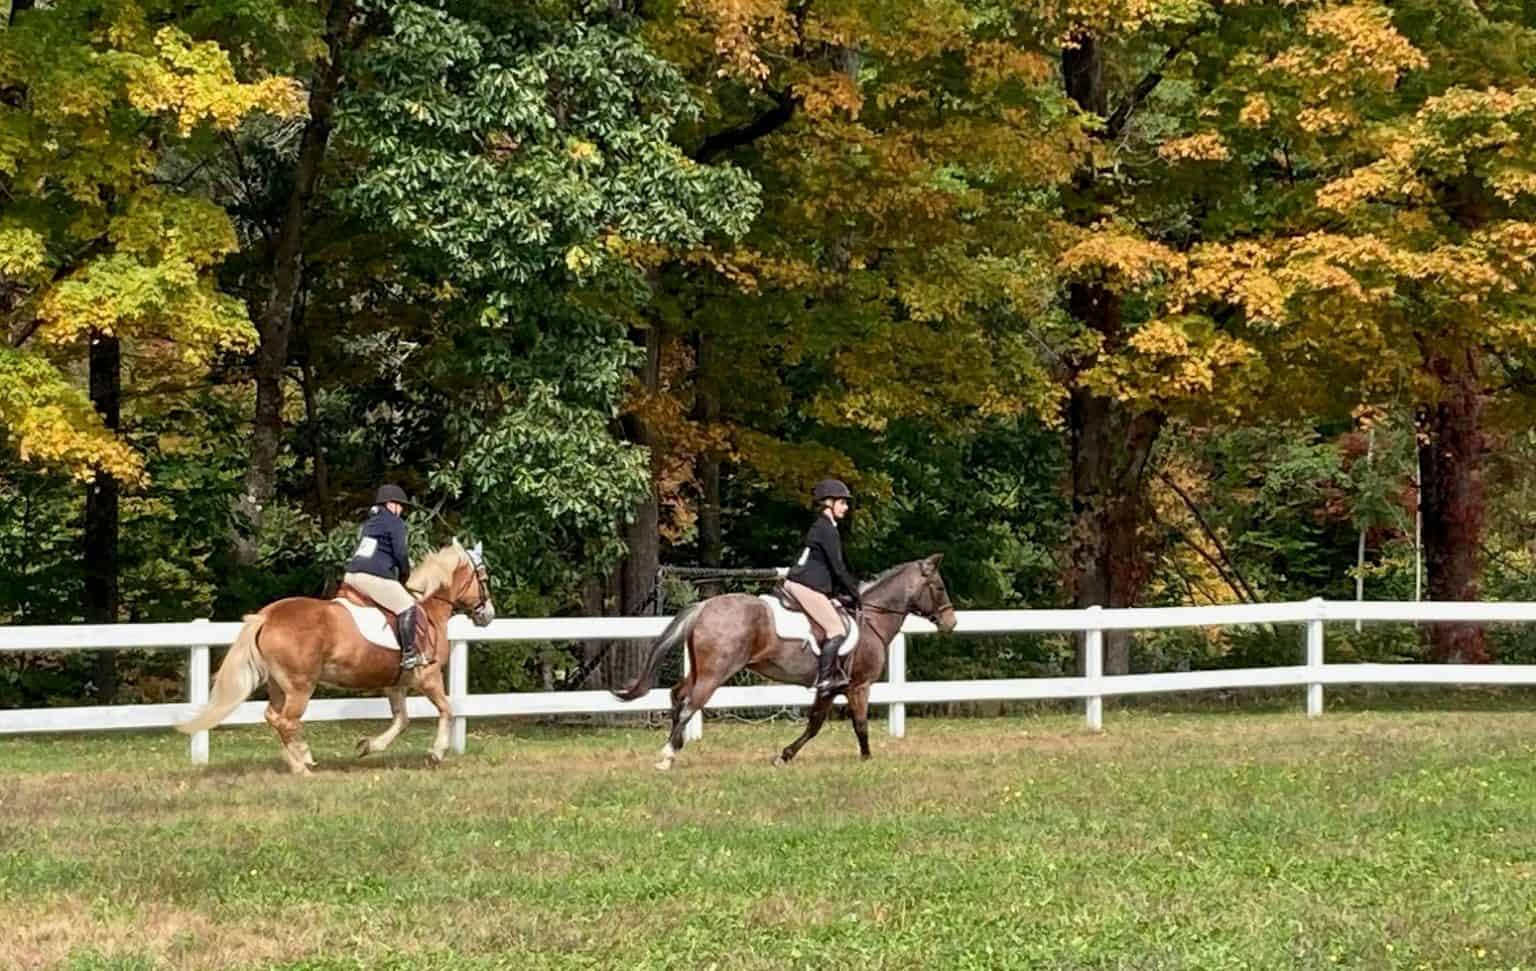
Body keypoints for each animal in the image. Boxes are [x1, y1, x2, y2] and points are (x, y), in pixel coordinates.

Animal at [178, 537, 491, 774]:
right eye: (484, 577)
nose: (487, 615)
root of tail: (267, 616)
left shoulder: (395, 684)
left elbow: (402, 721)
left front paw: (369, 746)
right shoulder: (428, 676)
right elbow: (447, 710)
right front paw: (436, 754)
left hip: (279, 685)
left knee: (273, 716)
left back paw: (296, 760)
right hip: (301, 686)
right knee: (286, 721)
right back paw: (303, 762)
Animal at [608, 556, 946, 771]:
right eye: (940, 587)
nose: (950, 622)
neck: (873, 619)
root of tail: (705, 605)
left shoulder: (828, 688)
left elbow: (814, 724)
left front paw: (784, 756)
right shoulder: (859, 685)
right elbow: (860, 724)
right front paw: (866, 758)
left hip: (700, 669)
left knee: (677, 696)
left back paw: (671, 749)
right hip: (715, 672)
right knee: (690, 704)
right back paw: (668, 756)